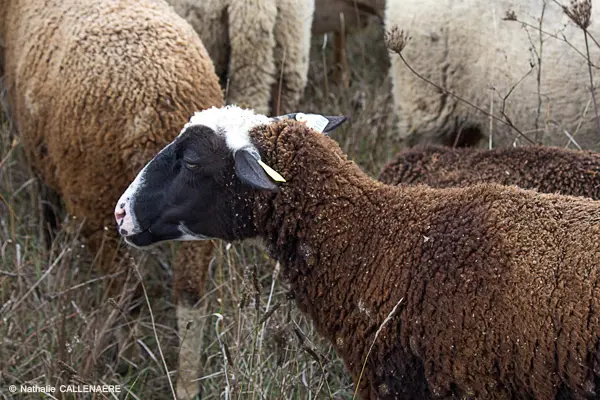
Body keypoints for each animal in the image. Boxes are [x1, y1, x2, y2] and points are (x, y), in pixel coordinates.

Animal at [0, 1, 223, 398]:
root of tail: (158, 104)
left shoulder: (37, 155)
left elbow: (48, 214)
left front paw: (48, 261)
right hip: (198, 210)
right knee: (190, 296)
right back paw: (186, 384)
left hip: (97, 197)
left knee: (127, 293)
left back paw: (121, 362)